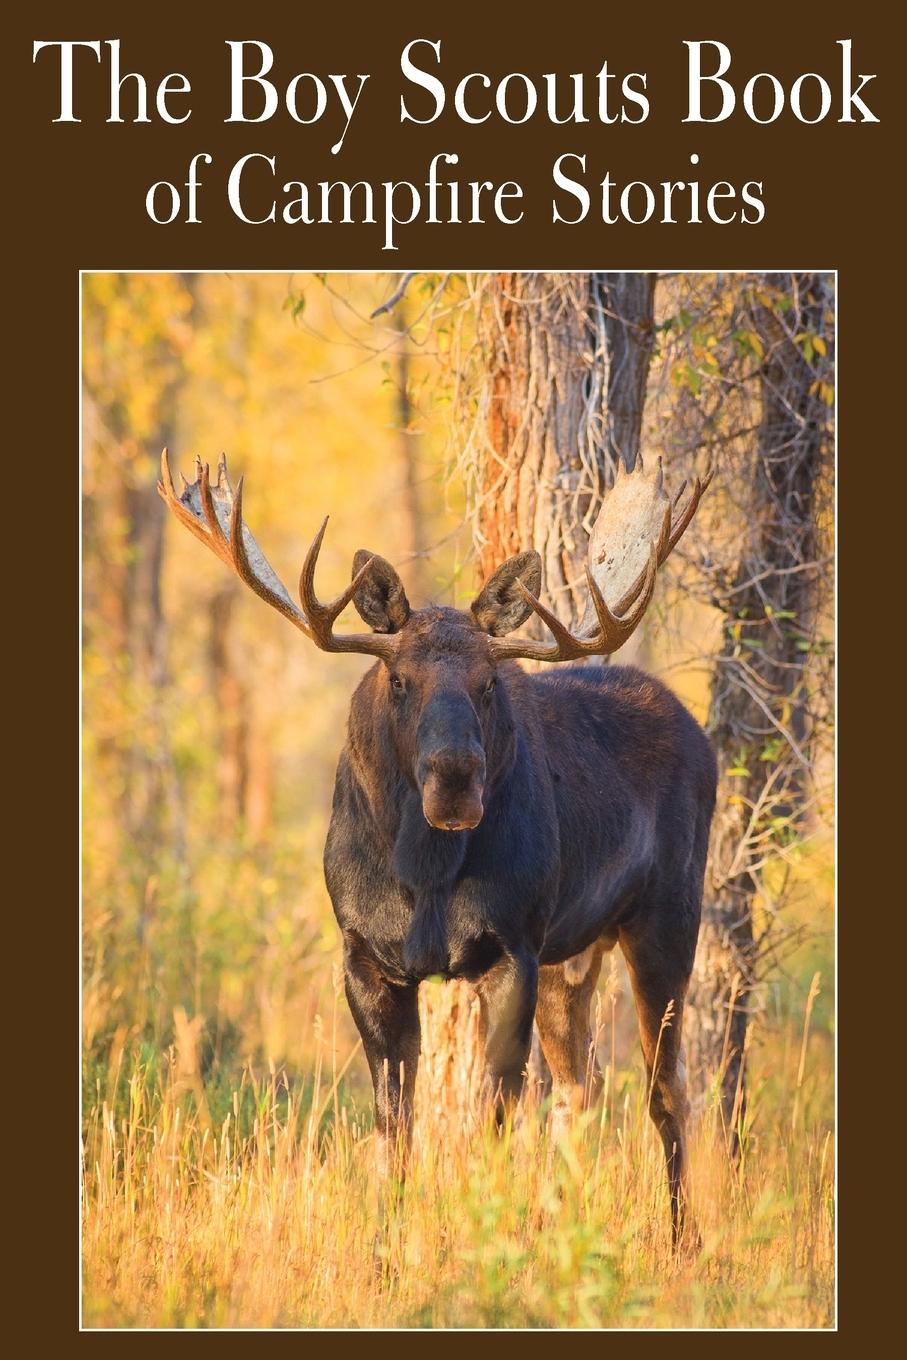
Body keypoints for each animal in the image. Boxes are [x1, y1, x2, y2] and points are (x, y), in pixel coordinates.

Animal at [161, 446, 717, 1245]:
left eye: (489, 682)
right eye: (398, 679)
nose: (456, 781)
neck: (422, 877)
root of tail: (696, 729)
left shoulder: (511, 949)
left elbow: (495, 1117)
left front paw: (485, 1236)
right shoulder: (366, 956)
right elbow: (395, 1124)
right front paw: (386, 1246)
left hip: (664, 919)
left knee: (664, 1088)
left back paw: (680, 1243)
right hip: (573, 956)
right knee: (581, 1086)